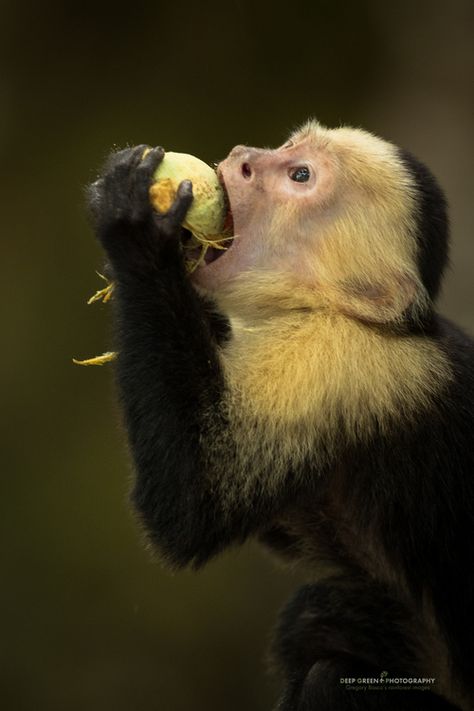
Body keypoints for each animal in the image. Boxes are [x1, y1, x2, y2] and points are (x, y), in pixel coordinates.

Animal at [88, 122, 474, 711]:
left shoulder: (336, 364)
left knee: (331, 674)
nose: (243, 157)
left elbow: (198, 505)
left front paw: (138, 236)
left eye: (300, 176)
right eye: (290, 147)